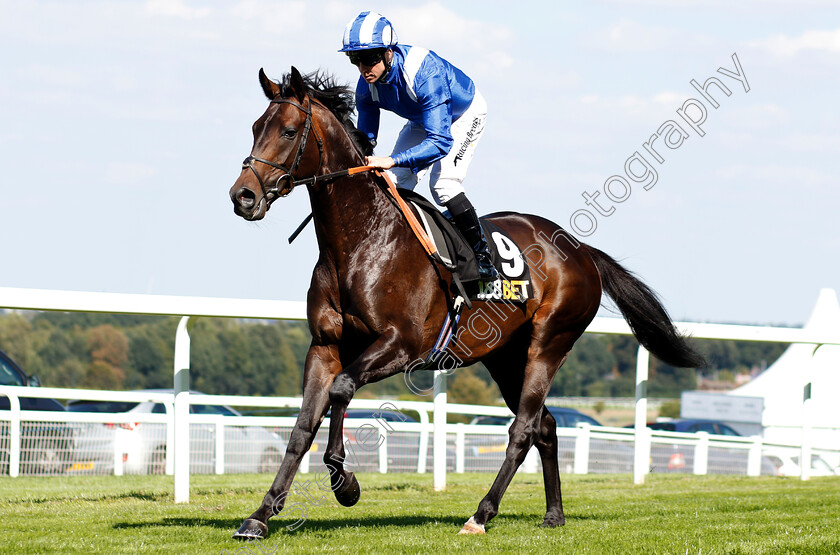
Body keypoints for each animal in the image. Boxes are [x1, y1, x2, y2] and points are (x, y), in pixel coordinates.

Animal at [226, 66, 704, 540]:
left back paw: (481, 514)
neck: (363, 241)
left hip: (549, 343)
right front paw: (261, 514)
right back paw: (553, 513)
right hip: (505, 356)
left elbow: (342, 389)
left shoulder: (402, 346)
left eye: (289, 131)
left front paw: (346, 484)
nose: (242, 196)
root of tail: (581, 249)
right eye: (254, 128)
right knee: (546, 426)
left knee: (523, 429)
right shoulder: (324, 345)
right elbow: (301, 427)